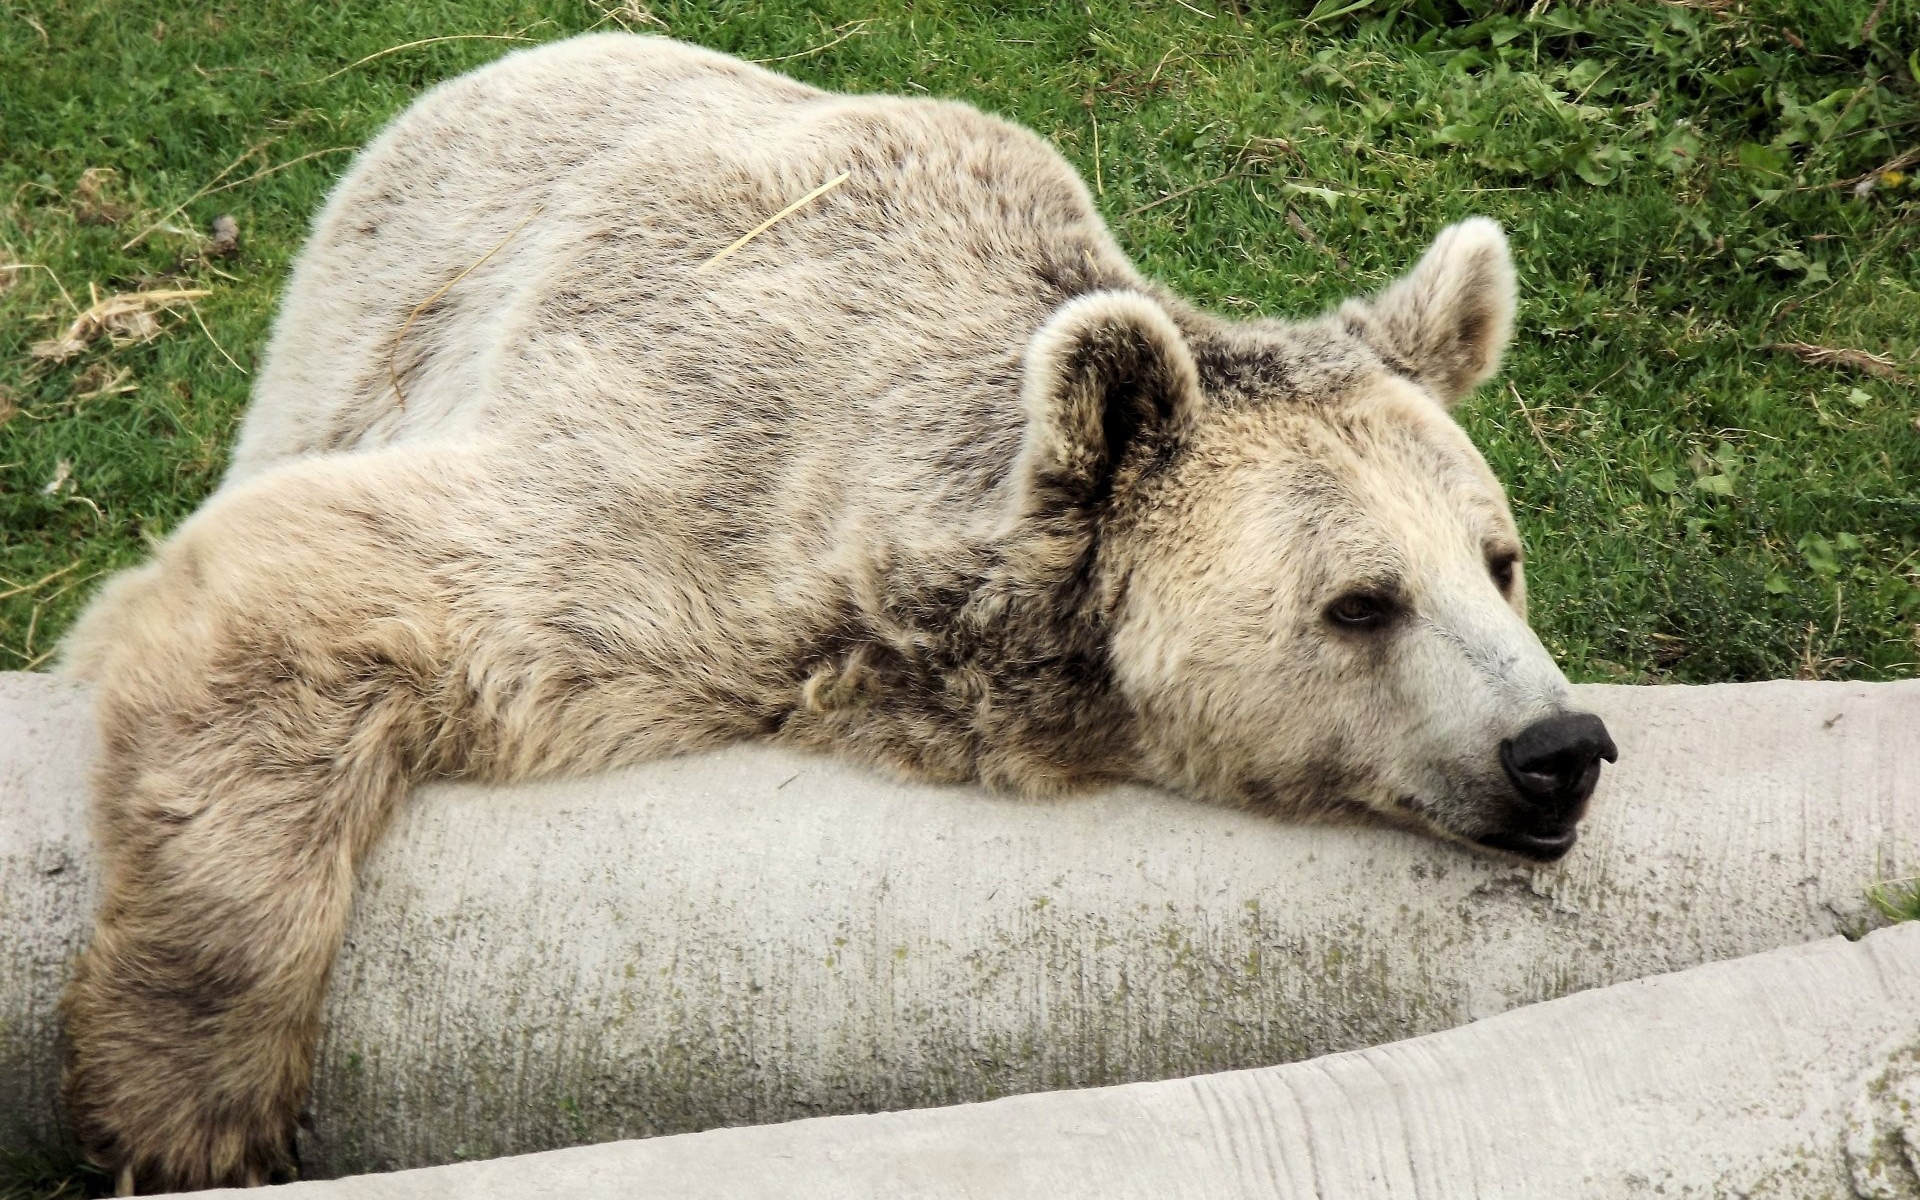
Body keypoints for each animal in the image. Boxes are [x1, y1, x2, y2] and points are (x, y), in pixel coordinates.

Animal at [56, 33, 1616, 1193]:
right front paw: (188, 1113)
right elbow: (320, 584)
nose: (1560, 749)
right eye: (1361, 602)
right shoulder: (696, 492)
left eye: (1498, 559)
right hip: (367, 321)